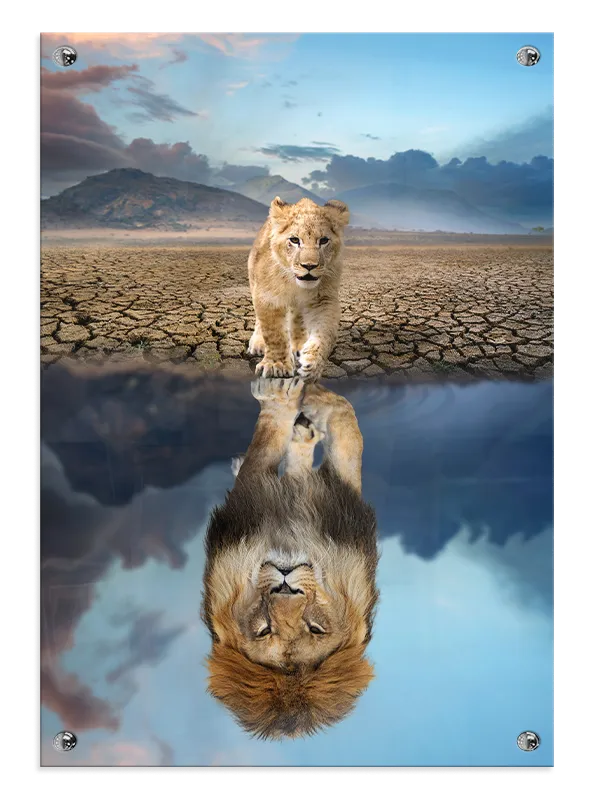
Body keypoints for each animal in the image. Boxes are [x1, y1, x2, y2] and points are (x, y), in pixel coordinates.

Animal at [201, 377, 379, 739]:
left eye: (315, 628)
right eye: (264, 630)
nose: (285, 585)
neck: (290, 537)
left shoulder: (339, 504)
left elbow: (346, 433)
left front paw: (300, 400)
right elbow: (342, 429)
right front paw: (297, 400)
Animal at [247, 196, 350, 382]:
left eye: (323, 240)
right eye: (295, 240)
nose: (309, 266)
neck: (295, 284)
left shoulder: (323, 299)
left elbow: (326, 333)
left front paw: (312, 364)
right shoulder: (267, 297)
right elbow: (274, 333)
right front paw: (276, 366)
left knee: (298, 318)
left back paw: (299, 346)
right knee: (260, 321)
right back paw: (258, 343)